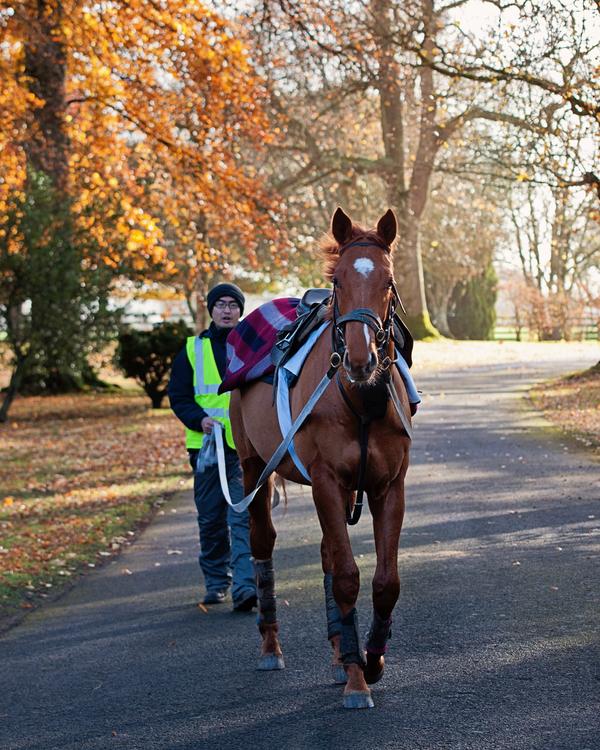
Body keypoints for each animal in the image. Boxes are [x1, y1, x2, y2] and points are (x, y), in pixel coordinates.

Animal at [230, 207, 412, 712]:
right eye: (338, 282)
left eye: (389, 281)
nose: (360, 358)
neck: (361, 400)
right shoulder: (328, 481)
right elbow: (348, 577)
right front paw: (356, 681)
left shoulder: (388, 486)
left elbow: (384, 582)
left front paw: (370, 659)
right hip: (252, 468)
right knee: (264, 544)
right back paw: (271, 647)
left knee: (329, 553)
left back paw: (339, 652)